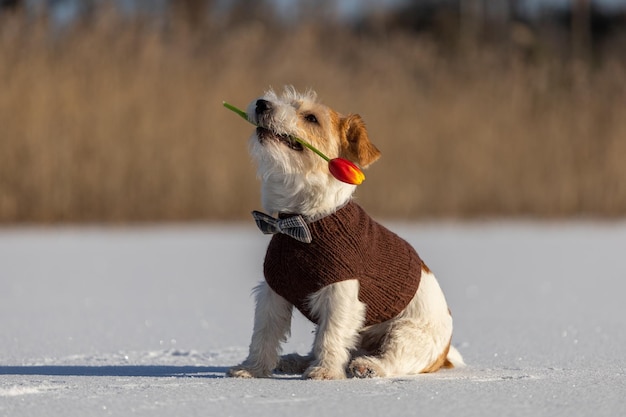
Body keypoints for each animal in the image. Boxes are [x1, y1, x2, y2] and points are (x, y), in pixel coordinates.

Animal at [227, 86, 460, 378]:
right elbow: (264, 334)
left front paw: (325, 372)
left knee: (392, 359)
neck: (305, 220)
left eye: (311, 118)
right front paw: (252, 369)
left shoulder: (341, 295)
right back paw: (295, 361)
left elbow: (331, 335)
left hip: (406, 334)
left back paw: (367, 366)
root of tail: (445, 354)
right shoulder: (273, 290)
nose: (262, 104)